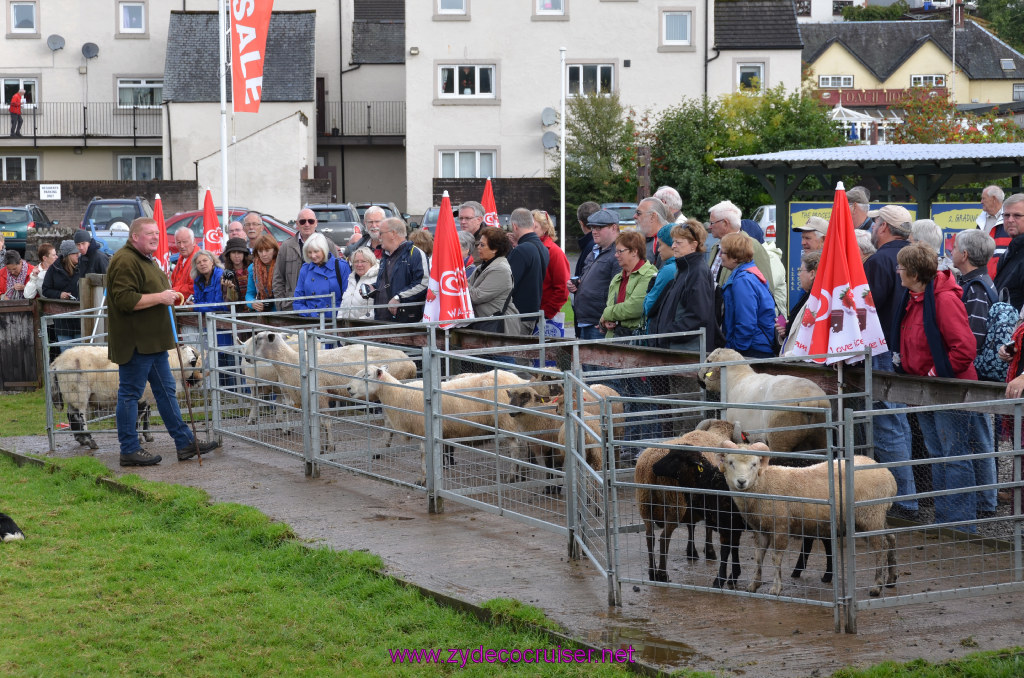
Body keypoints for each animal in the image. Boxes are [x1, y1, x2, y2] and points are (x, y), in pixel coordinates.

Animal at [50, 346, 203, 450]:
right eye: (195, 362)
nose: (200, 381)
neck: (173, 362)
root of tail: (56, 363)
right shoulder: (142, 396)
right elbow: (138, 416)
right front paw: (139, 438)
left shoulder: (148, 395)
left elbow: (147, 415)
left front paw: (148, 436)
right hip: (78, 392)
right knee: (80, 416)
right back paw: (89, 441)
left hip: (72, 394)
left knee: (71, 415)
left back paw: (80, 439)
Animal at [346, 368, 536, 485]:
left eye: (366, 375)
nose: (348, 388)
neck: (399, 395)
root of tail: (520, 380)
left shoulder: (423, 431)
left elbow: (423, 455)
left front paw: (422, 479)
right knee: (525, 445)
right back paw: (524, 473)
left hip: (507, 421)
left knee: (516, 447)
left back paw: (513, 476)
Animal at [630, 419, 745, 585]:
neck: (717, 434)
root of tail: (650, 469)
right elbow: (707, 527)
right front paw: (709, 551)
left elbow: (691, 525)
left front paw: (692, 552)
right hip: (674, 505)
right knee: (664, 538)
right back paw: (663, 574)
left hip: (644, 504)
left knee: (649, 537)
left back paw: (652, 572)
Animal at [712, 448, 897, 598]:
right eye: (730, 462)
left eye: (754, 464)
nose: (741, 482)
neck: (763, 484)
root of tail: (889, 477)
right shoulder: (761, 529)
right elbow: (759, 556)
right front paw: (753, 585)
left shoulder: (780, 527)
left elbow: (775, 558)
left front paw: (776, 588)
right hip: (872, 518)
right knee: (891, 539)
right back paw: (891, 578)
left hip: (870, 515)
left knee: (881, 547)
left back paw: (877, 586)